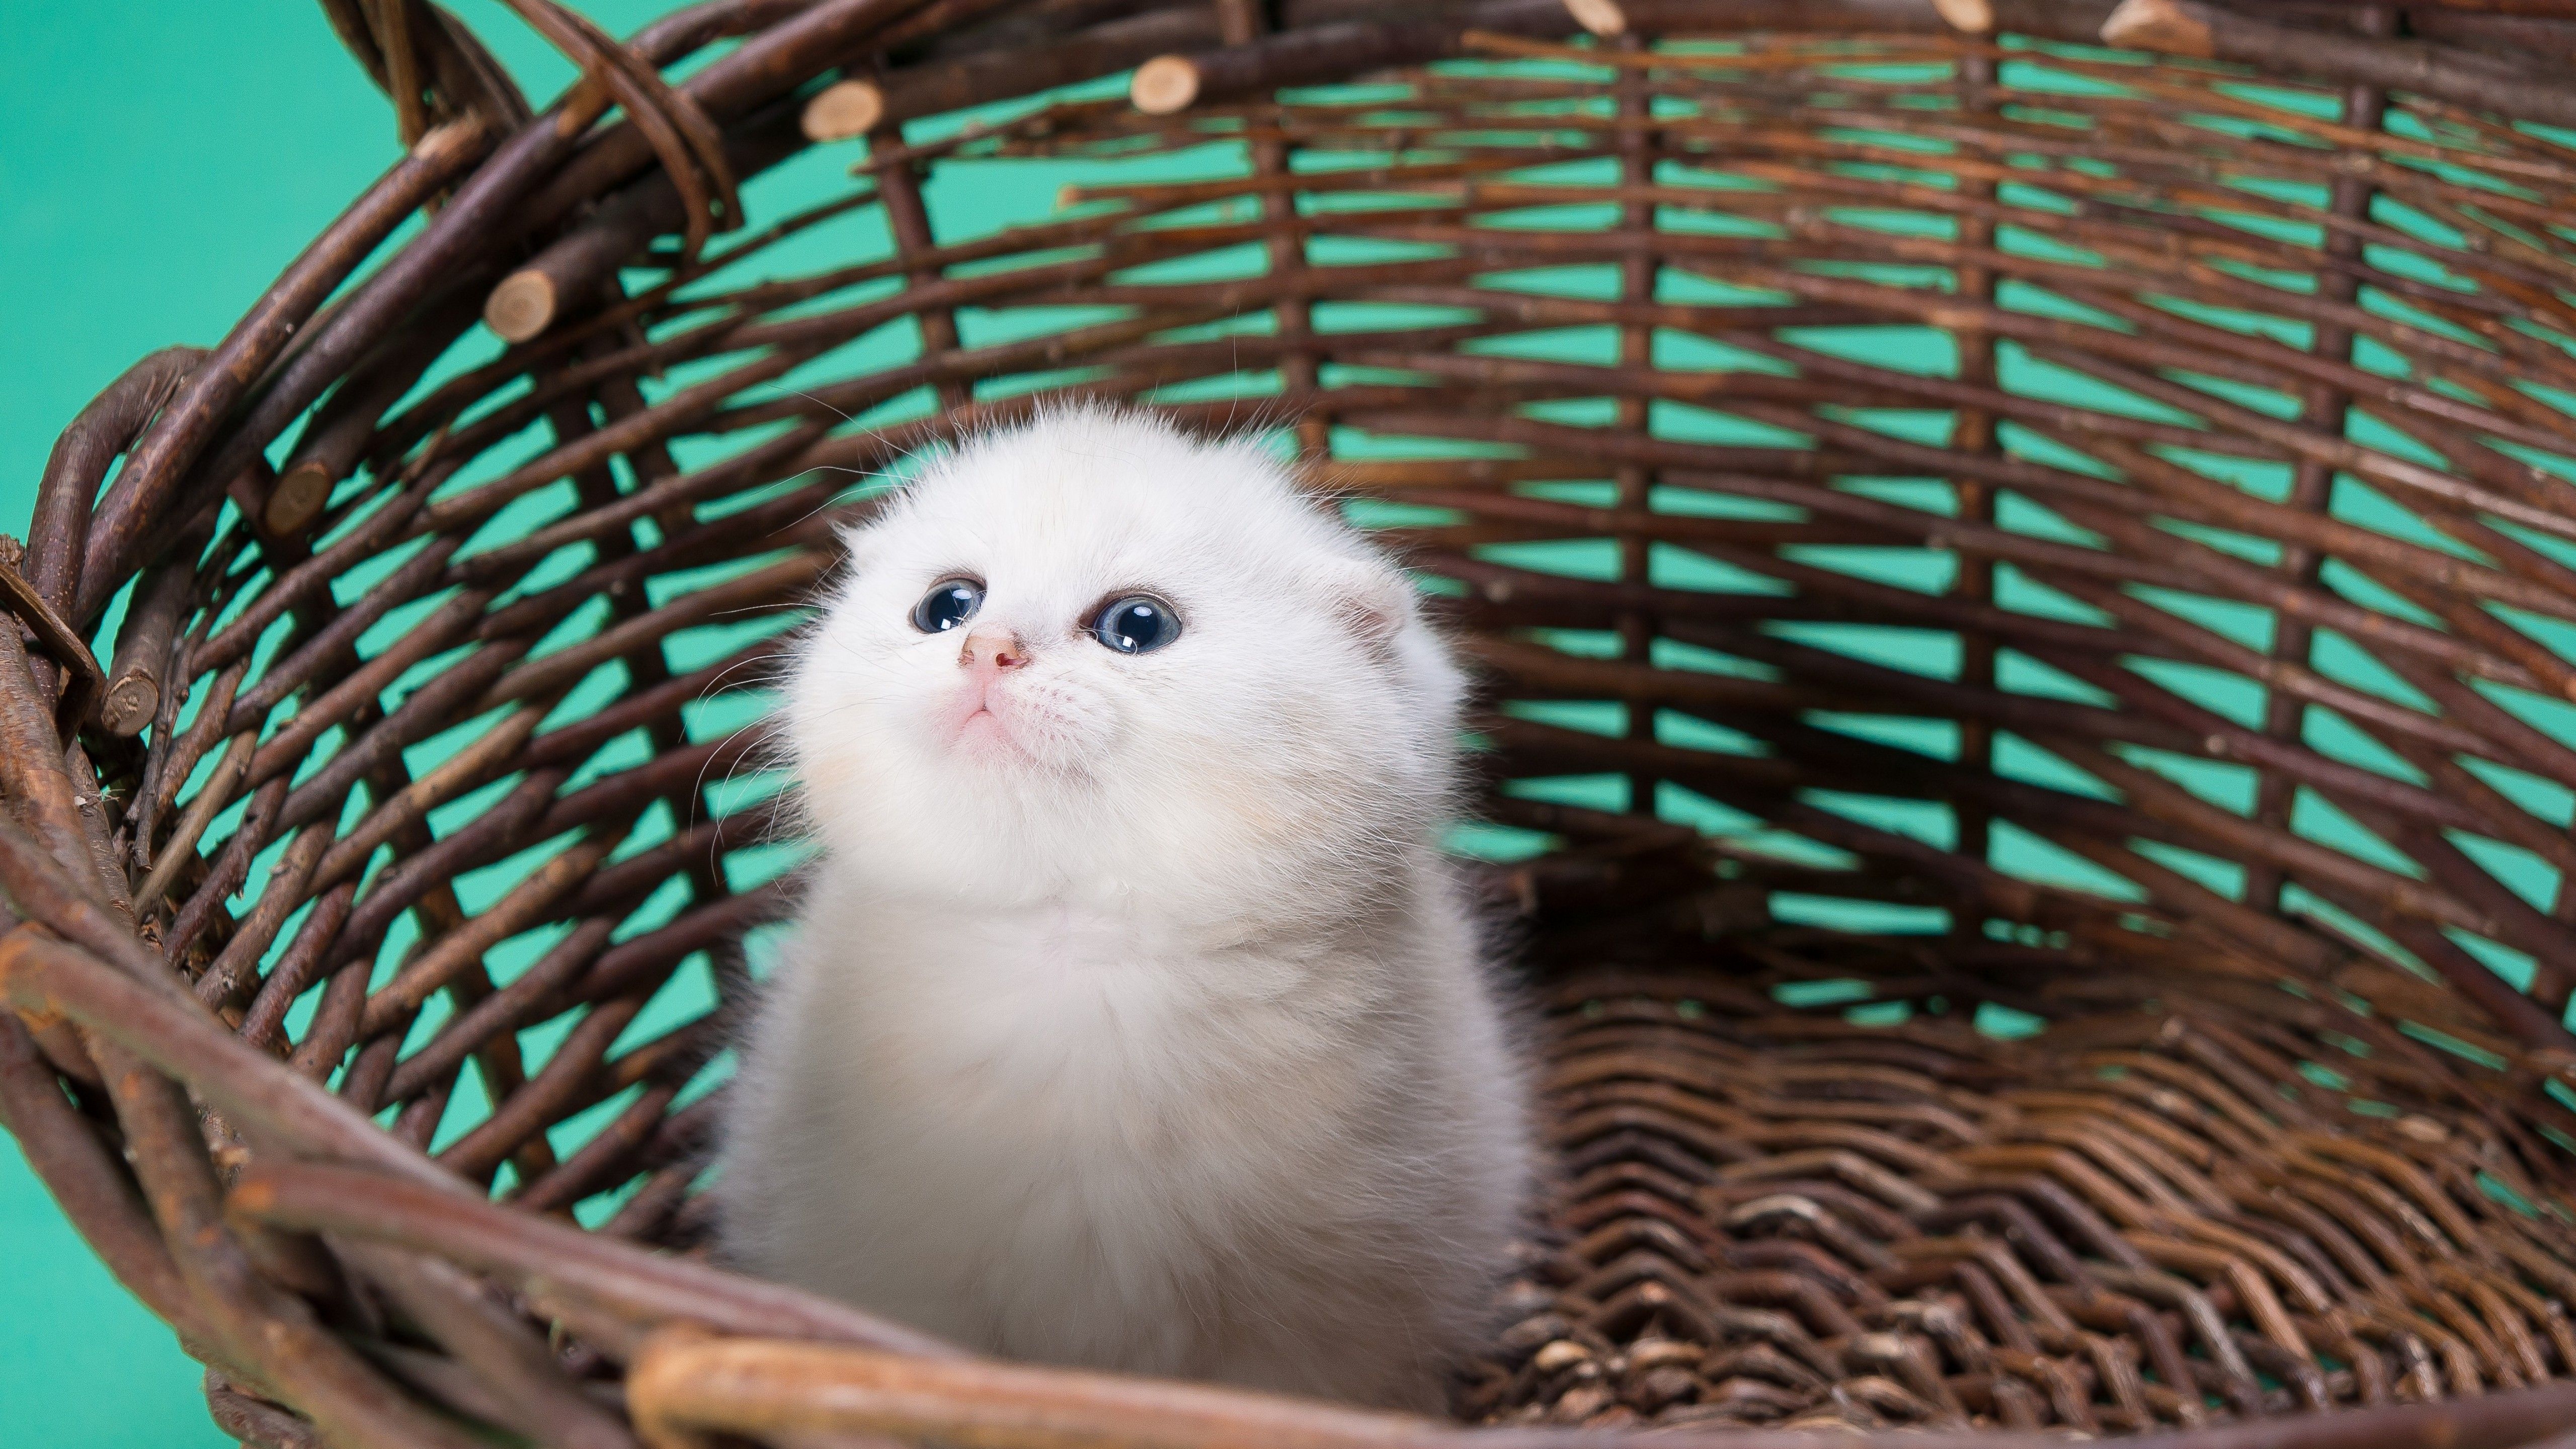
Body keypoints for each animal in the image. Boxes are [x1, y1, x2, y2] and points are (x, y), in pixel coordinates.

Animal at [716, 399, 1535, 1402]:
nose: (986, 648)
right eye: (947, 606)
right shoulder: (884, 1271)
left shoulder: (1319, 1318)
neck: (1078, 956)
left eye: (1136, 626)